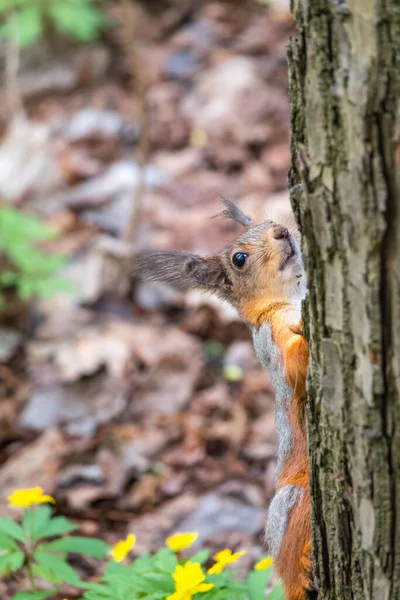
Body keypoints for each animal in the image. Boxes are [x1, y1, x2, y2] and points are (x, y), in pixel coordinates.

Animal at [134, 199, 312, 596]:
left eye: (270, 221)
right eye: (239, 259)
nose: (282, 231)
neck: (288, 299)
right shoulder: (270, 341)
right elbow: (293, 369)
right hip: (292, 501)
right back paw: (304, 568)